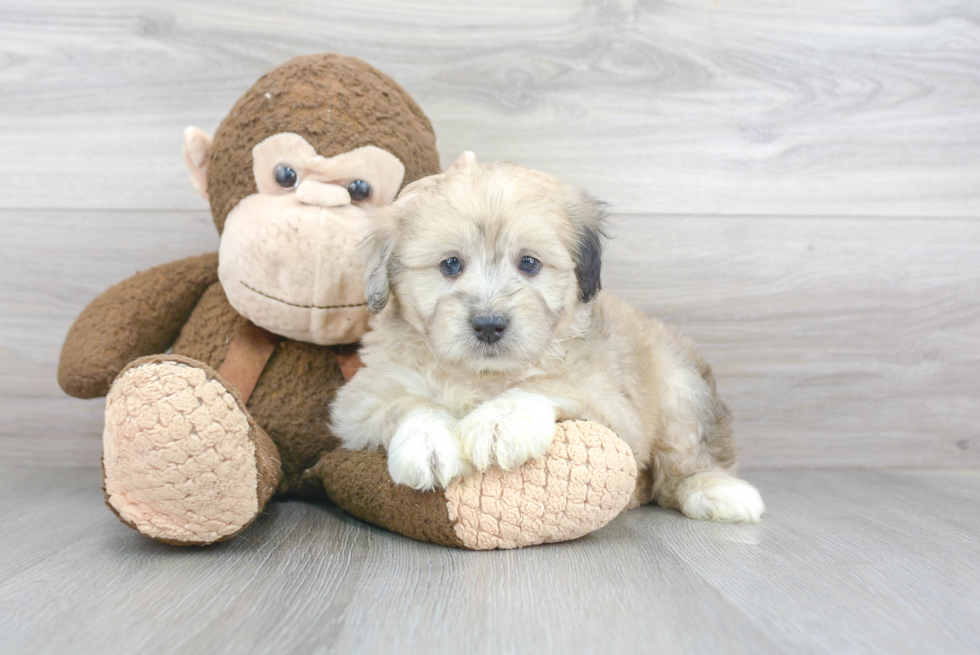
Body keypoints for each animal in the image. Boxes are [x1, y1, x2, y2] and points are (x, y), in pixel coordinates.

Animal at [330, 163, 764, 524]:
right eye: (450, 265)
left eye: (529, 263)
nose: (489, 325)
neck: (483, 377)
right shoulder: (360, 403)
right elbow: (408, 403)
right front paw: (427, 440)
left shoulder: (614, 407)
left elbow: (547, 386)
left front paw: (499, 421)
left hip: (681, 388)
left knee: (686, 461)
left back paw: (717, 491)